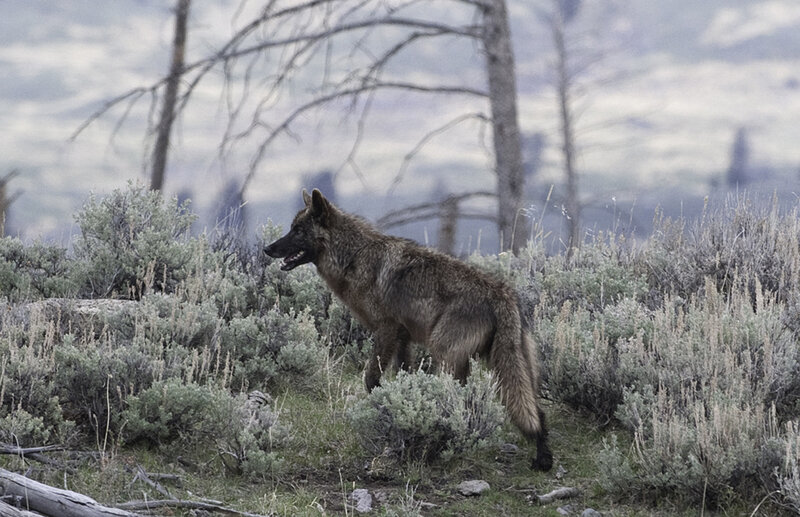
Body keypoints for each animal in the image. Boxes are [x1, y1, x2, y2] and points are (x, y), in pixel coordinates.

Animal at [265, 189, 552, 470]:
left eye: (298, 231)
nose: (267, 248)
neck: (355, 256)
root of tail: (503, 293)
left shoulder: (386, 330)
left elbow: (371, 379)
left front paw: (383, 409)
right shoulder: (403, 339)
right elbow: (406, 375)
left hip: (446, 356)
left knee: (465, 403)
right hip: (509, 368)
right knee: (536, 411)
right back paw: (543, 459)